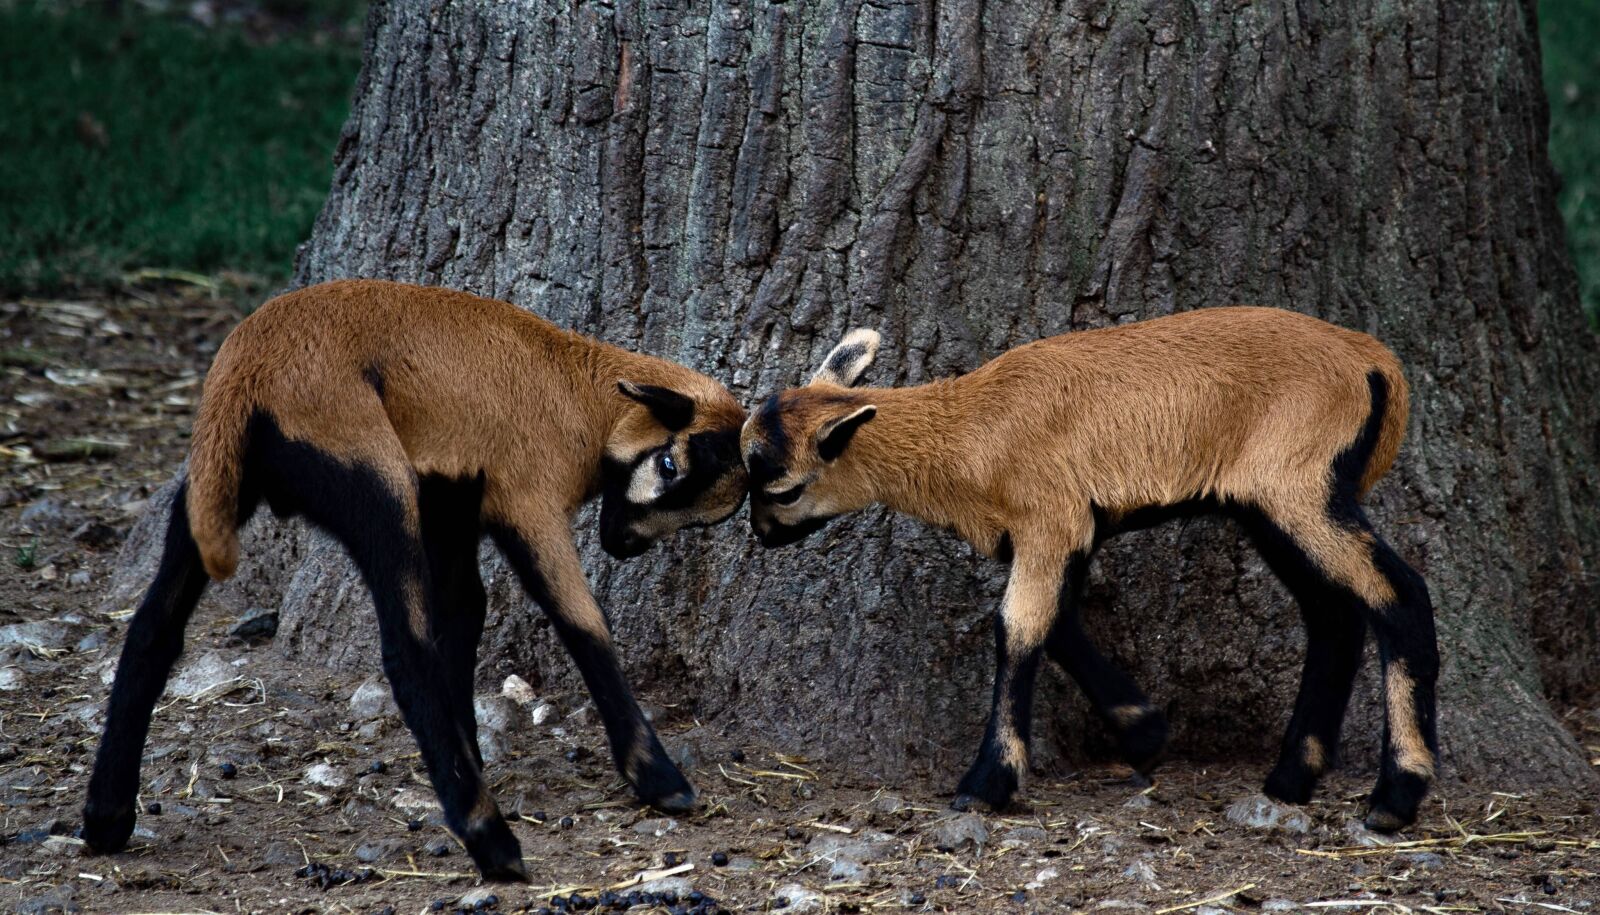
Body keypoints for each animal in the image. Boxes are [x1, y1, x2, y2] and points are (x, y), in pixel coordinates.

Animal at [83, 279, 749, 880]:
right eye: (669, 464)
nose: (623, 545)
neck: (582, 397)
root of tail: (244, 375)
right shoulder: (524, 498)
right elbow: (581, 624)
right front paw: (659, 780)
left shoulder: (453, 504)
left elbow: (465, 612)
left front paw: (472, 749)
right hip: (374, 482)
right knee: (405, 650)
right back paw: (492, 843)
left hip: (213, 490)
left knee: (152, 628)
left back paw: (105, 818)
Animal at [741, 308, 1439, 832]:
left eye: (783, 490)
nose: (761, 537)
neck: (969, 433)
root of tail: (1375, 362)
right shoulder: (1064, 531)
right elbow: (1058, 624)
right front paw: (1145, 733)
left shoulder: (1050, 518)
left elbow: (1018, 628)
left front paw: (986, 785)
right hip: (1269, 503)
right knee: (1334, 616)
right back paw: (1291, 780)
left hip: (1300, 481)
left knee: (1398, 594)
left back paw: (1395, 798)